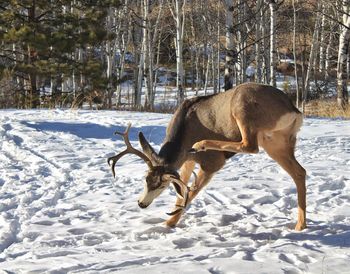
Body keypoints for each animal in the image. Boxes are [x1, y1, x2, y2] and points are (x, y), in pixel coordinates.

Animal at [108, 82, 308, 230]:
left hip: (243, 107)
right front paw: (171, 219)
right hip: (277, 142)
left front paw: (169, 222)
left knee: (250, 145)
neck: (184, 134)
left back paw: (201, 144)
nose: (141, 203)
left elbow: (191, 191)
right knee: (300, 172)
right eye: (146, 179)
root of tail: (293, 110)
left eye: (162, 185)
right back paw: (300, 225)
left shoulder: (211, 163)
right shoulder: (186, 162)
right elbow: (182, 189)